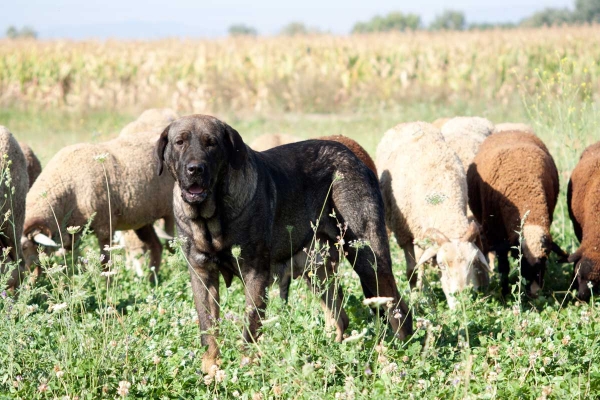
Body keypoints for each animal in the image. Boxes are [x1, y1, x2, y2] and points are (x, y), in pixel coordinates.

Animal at [155, 115, 412, 372]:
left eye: (212, 143)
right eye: (179, 142)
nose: (195, 169)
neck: (211, 219)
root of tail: (356, 158)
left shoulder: (254, 273)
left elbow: (251, 326)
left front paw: (248, 365)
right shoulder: (202, 274)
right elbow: (208, 328)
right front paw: (211, 369)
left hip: (367, 257)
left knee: (398, 309)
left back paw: (402, 355)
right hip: (317, 271)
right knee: (339, 316)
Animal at [378, 120, 490, 308]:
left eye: (473, 262)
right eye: (442, 264)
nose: (463, 302)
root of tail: (409, 122)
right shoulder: (409, 235)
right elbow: (413, 270)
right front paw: (419, 297)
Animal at [468, 131, 568, 296]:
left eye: (544, 260)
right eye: (522, 263)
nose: (534, 293)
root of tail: (508, 131)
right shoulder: (496, 236)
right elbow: (503, 267)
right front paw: (505, 292)